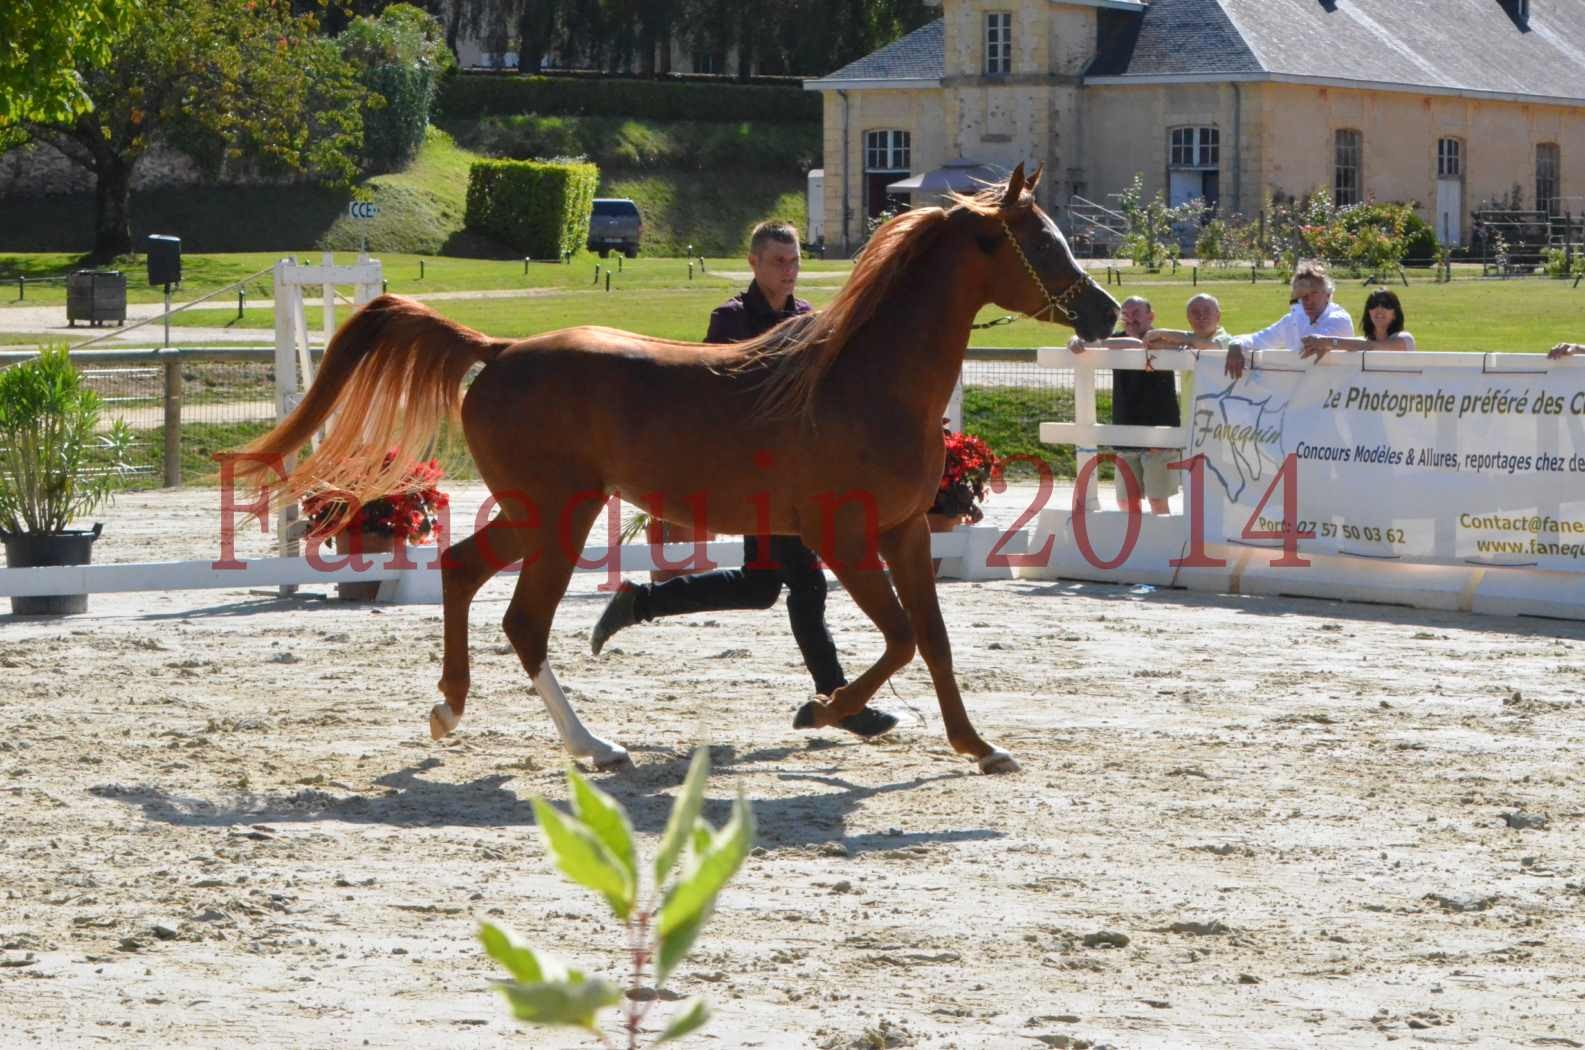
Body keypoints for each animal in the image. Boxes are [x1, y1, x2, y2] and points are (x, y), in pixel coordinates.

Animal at [240, 162, 1122, 774]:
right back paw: (595, 747)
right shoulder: (843, 537)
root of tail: (501, 351)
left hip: (536, 514)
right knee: (523, 621)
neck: (861, 379)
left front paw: (978, 746)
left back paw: (450, 713)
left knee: (460, 571)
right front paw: (824, 709)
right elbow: (901, 638)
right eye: (1040, 241)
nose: (1105, 309)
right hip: (559, 515)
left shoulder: (905, 531)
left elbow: (933, 641)